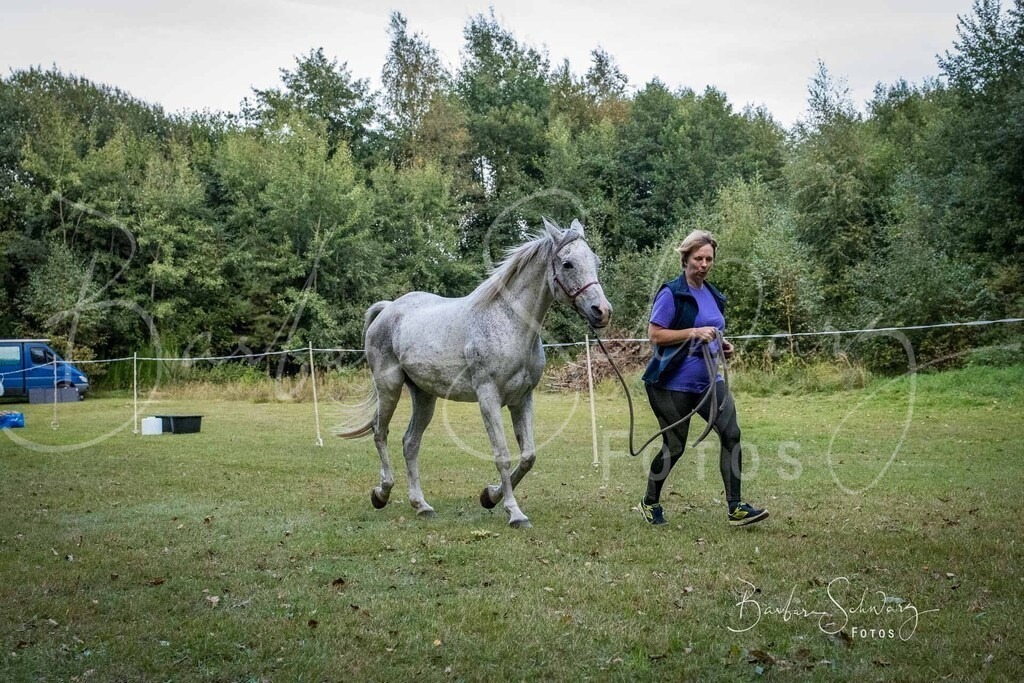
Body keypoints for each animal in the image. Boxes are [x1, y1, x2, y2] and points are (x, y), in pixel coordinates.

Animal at [339, 217, 612, 528]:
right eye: (567, 264)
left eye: (596, 261)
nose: (602, 311)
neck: (509, 324)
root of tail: (388, 309)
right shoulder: (488, 398)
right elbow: (503, 454)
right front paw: (514, 513)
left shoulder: (522, 399)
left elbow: (528, 456)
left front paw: (490, 497)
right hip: (390, 388)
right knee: (379, 432)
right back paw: (381, 493)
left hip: (424, 396)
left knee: (410, 443)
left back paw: (421, 505)